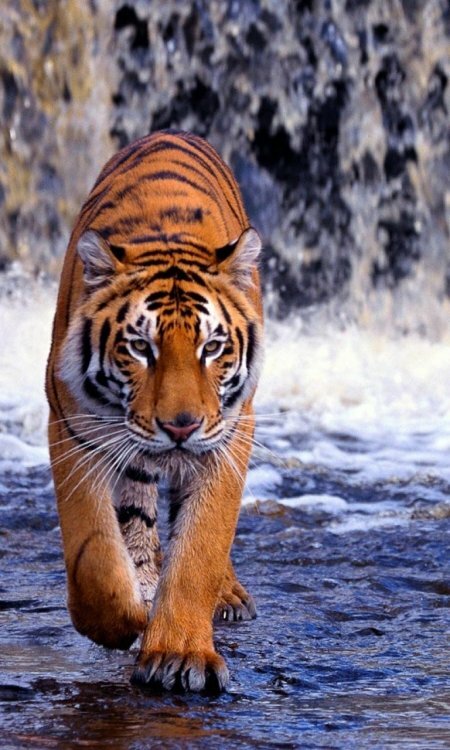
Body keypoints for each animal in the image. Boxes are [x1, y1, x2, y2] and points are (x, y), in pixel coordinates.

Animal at [46, 130, 263, 693]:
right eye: (141, 348)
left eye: (212, 347)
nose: (180, 426)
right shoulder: (74, 428)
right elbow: (95, 553)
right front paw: (122, 621)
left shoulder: (228, 435)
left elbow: (201, 546)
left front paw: (180, 654)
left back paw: (226, 595)